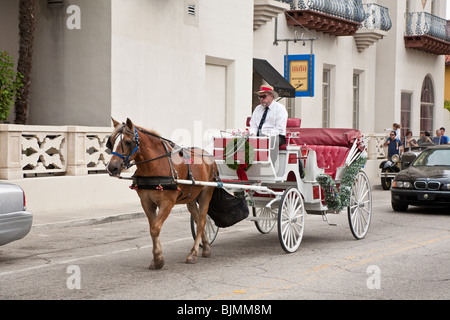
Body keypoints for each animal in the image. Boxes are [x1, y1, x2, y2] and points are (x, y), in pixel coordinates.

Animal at [106, 119, 218, 268]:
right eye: (111, 142)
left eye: (128, 142)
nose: (112, 167)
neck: (153, 167)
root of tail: (209, 156)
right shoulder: (147, 203)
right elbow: (152, 228)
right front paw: (156, 258)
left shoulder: (167, 203)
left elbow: (155, 228)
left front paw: (158, 259)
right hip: (191, 198)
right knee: (198, 219)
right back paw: (205, 247)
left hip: (206, 192)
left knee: (201, 222)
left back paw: (193, 253)